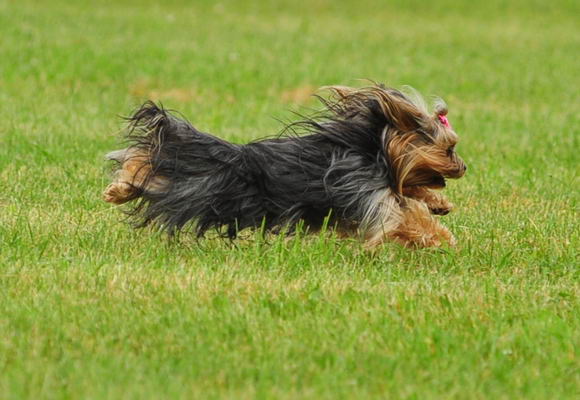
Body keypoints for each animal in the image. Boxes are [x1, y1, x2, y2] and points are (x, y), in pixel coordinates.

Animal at [104, 83, 466, 247]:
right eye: (449, 149)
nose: (463, 168)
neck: (371, 148)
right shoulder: (368, 194)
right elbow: (404, 219)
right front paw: (441, 239)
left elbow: (410, 195)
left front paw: (440, 204)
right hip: (198, 188)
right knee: (147, 166)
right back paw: (119, 188)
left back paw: (120, 189)